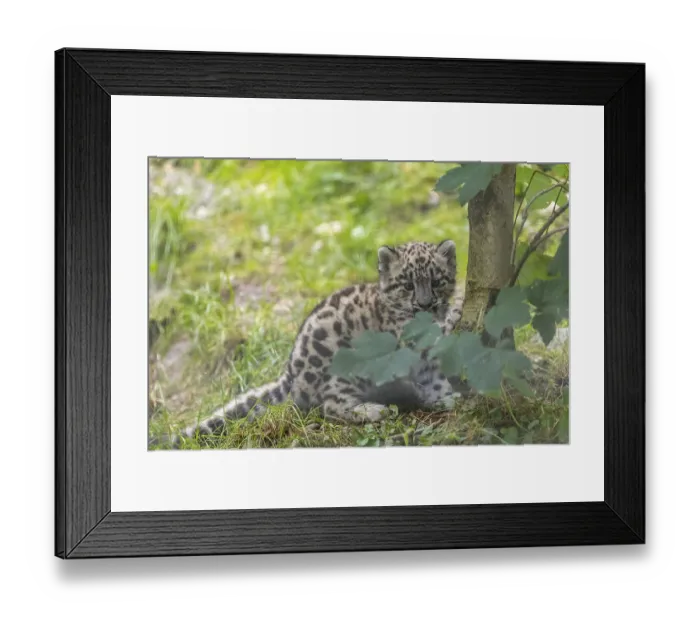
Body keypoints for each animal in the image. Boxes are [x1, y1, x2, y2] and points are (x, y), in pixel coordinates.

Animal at [154, 240, 464, 448]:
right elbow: (433, 338)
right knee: (330, 404)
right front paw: (457, 311)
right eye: (407, 285)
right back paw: (374, 409)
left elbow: (435, 376)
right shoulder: (405, 340)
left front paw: (448, 397)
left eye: (437, 281)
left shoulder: (426, 363)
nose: (425, 305)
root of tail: (290, 374)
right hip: (343, 373)